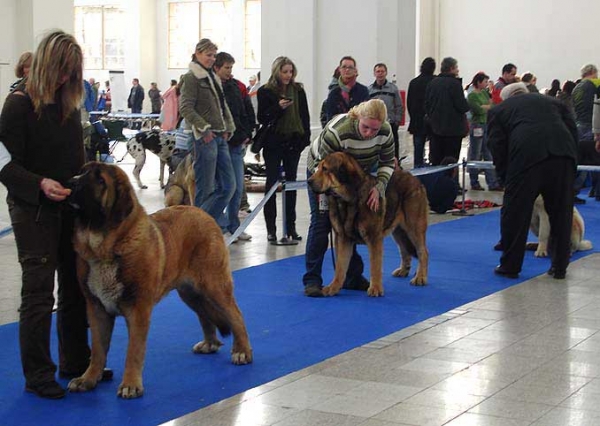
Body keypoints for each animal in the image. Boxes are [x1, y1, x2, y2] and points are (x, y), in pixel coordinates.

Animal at [67, 162, 252, 400]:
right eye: (82, 172)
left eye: (99, 179)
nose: (70, 182)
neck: (104, 247)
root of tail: (203, 213)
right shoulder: (97, 309)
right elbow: (98, 349)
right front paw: (88, 379)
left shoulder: (138, 310)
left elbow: (133, 351)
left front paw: (130, 385)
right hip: (190, 293)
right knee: (204, 314)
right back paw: (210, 343)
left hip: (214, 286)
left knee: (235, 315)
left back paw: (242, 351)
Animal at [308, 152, 428, 296]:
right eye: (319, 167)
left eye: (325, 169)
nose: (308, 181)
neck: (348, 199)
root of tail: (415, 179)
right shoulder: (343, 238)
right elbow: (340, 266)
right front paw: (333, 287)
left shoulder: (374, 237)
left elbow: (375, 264)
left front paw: (375, 288)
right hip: (398, 230)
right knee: (404, 250)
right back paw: (403, 270)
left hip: (414, 227)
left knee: (423, 252)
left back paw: (420, 277)